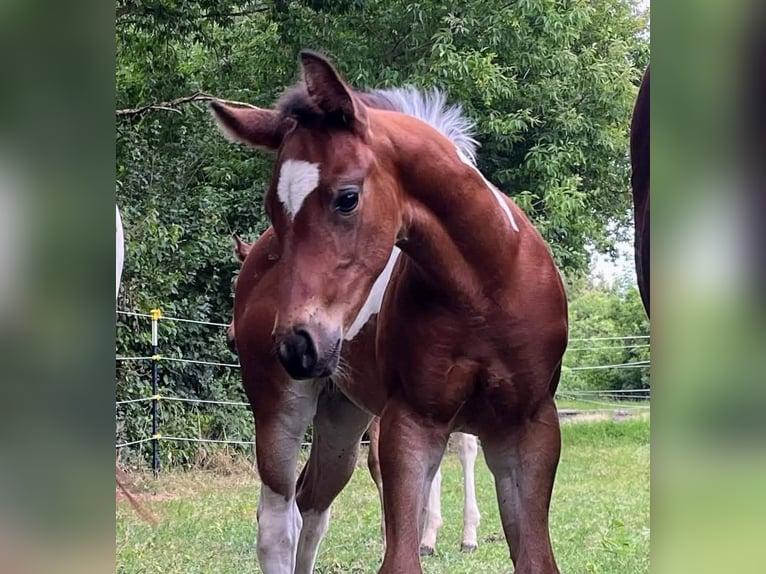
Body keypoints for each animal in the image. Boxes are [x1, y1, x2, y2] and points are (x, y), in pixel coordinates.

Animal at [213, 51, 568, 572]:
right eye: (274, 211)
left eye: (347, 197)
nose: (298, 345)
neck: (484, 291)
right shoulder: (411, 426)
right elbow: (399, 554)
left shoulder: (529, 429)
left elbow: (536, 559)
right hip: (280, 407)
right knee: (278, 523)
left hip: (342, 415)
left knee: (313, 504)